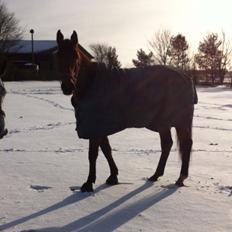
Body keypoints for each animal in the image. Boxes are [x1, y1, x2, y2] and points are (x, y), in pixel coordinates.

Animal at [55, 29, 197, 191]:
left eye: (76, 58)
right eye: (58, 57)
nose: (68, 87)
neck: (91, 84)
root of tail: (187, 77)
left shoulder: (95, 128)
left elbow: (93, 154)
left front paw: (89, 183)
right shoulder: (100, 127)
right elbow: (106, 150)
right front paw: (113, 176)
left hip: (180, 121)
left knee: (186, 144)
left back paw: (180, 178)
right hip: (163, 123)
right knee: (167, 144)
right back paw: (156, 175)